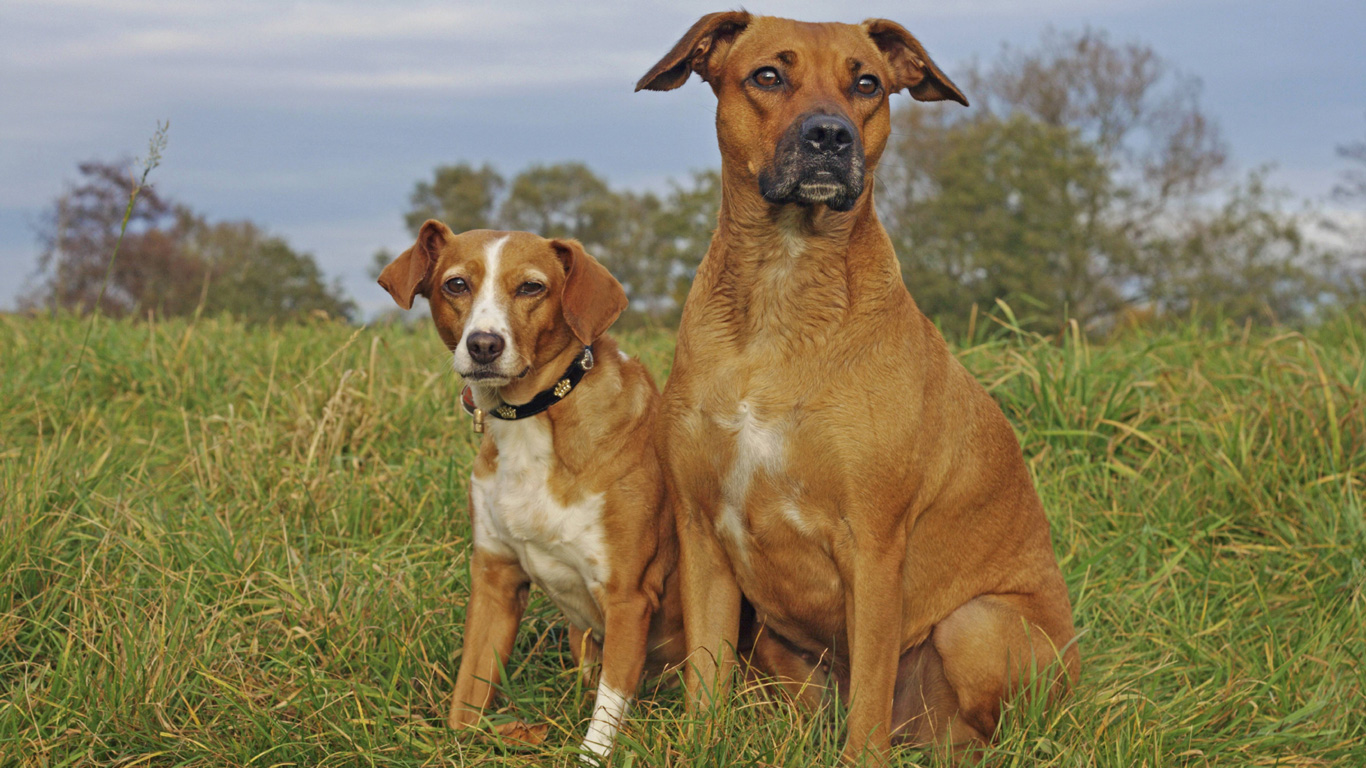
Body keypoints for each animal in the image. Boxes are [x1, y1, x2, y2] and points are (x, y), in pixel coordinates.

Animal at [377, 221, 683, 759]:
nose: (484, 344)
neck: (534, 419)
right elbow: (465, 706)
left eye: (531, 287)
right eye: (456, 284)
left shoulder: (628, 596)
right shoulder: (495, 579)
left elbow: (602, 727)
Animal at [636, 13, 1076, 765]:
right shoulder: (703, 535)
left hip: (976, 626)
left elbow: (868, 695)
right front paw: (701, 743)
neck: (783, 286)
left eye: (866, 84)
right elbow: (704, 677)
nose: (830, 136)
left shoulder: (872, 545)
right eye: (768, 75)